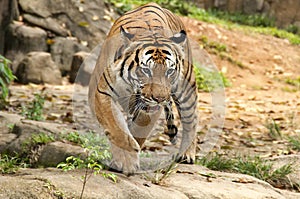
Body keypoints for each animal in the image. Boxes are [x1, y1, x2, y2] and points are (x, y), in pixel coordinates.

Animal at [88, 2, 198, 175]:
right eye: (146, 70)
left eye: (169, 71)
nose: (160, 98)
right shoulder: (101, 92)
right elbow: (115, 126)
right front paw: (126, 161)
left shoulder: (150, 106)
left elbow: (140, 128)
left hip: (187, 89)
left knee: (191, 121)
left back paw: (187, 155)